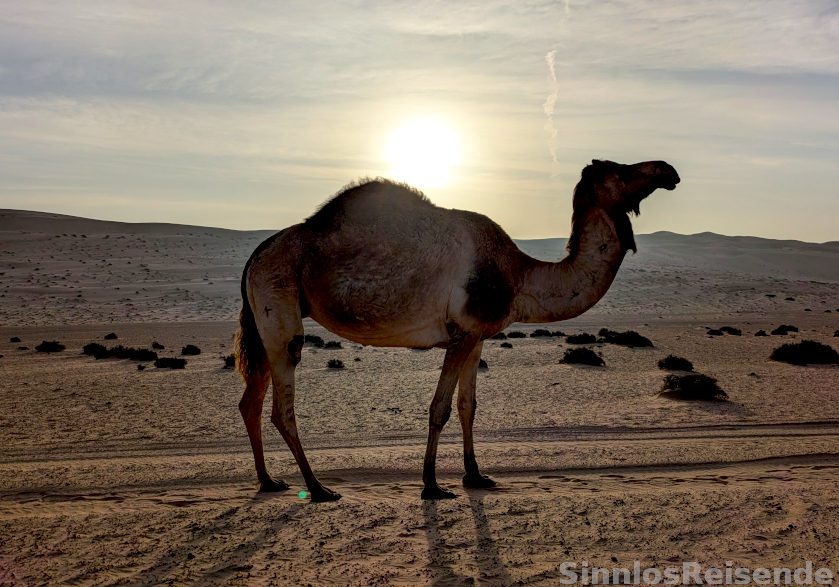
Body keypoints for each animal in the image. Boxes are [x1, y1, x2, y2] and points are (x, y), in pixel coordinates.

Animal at [235, 159, 680, 501]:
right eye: (620, 170)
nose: (667, 169)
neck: (520, 277)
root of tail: (257, 254)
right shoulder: (461, 333)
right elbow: (440, 408)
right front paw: (432, 485)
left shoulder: (477, 335)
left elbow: (469, 406)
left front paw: (475, 475)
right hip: (280, 303)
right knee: (282, 405)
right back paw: (318, 488)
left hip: (265, 317)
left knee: (250, 402)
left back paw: (269, 481)